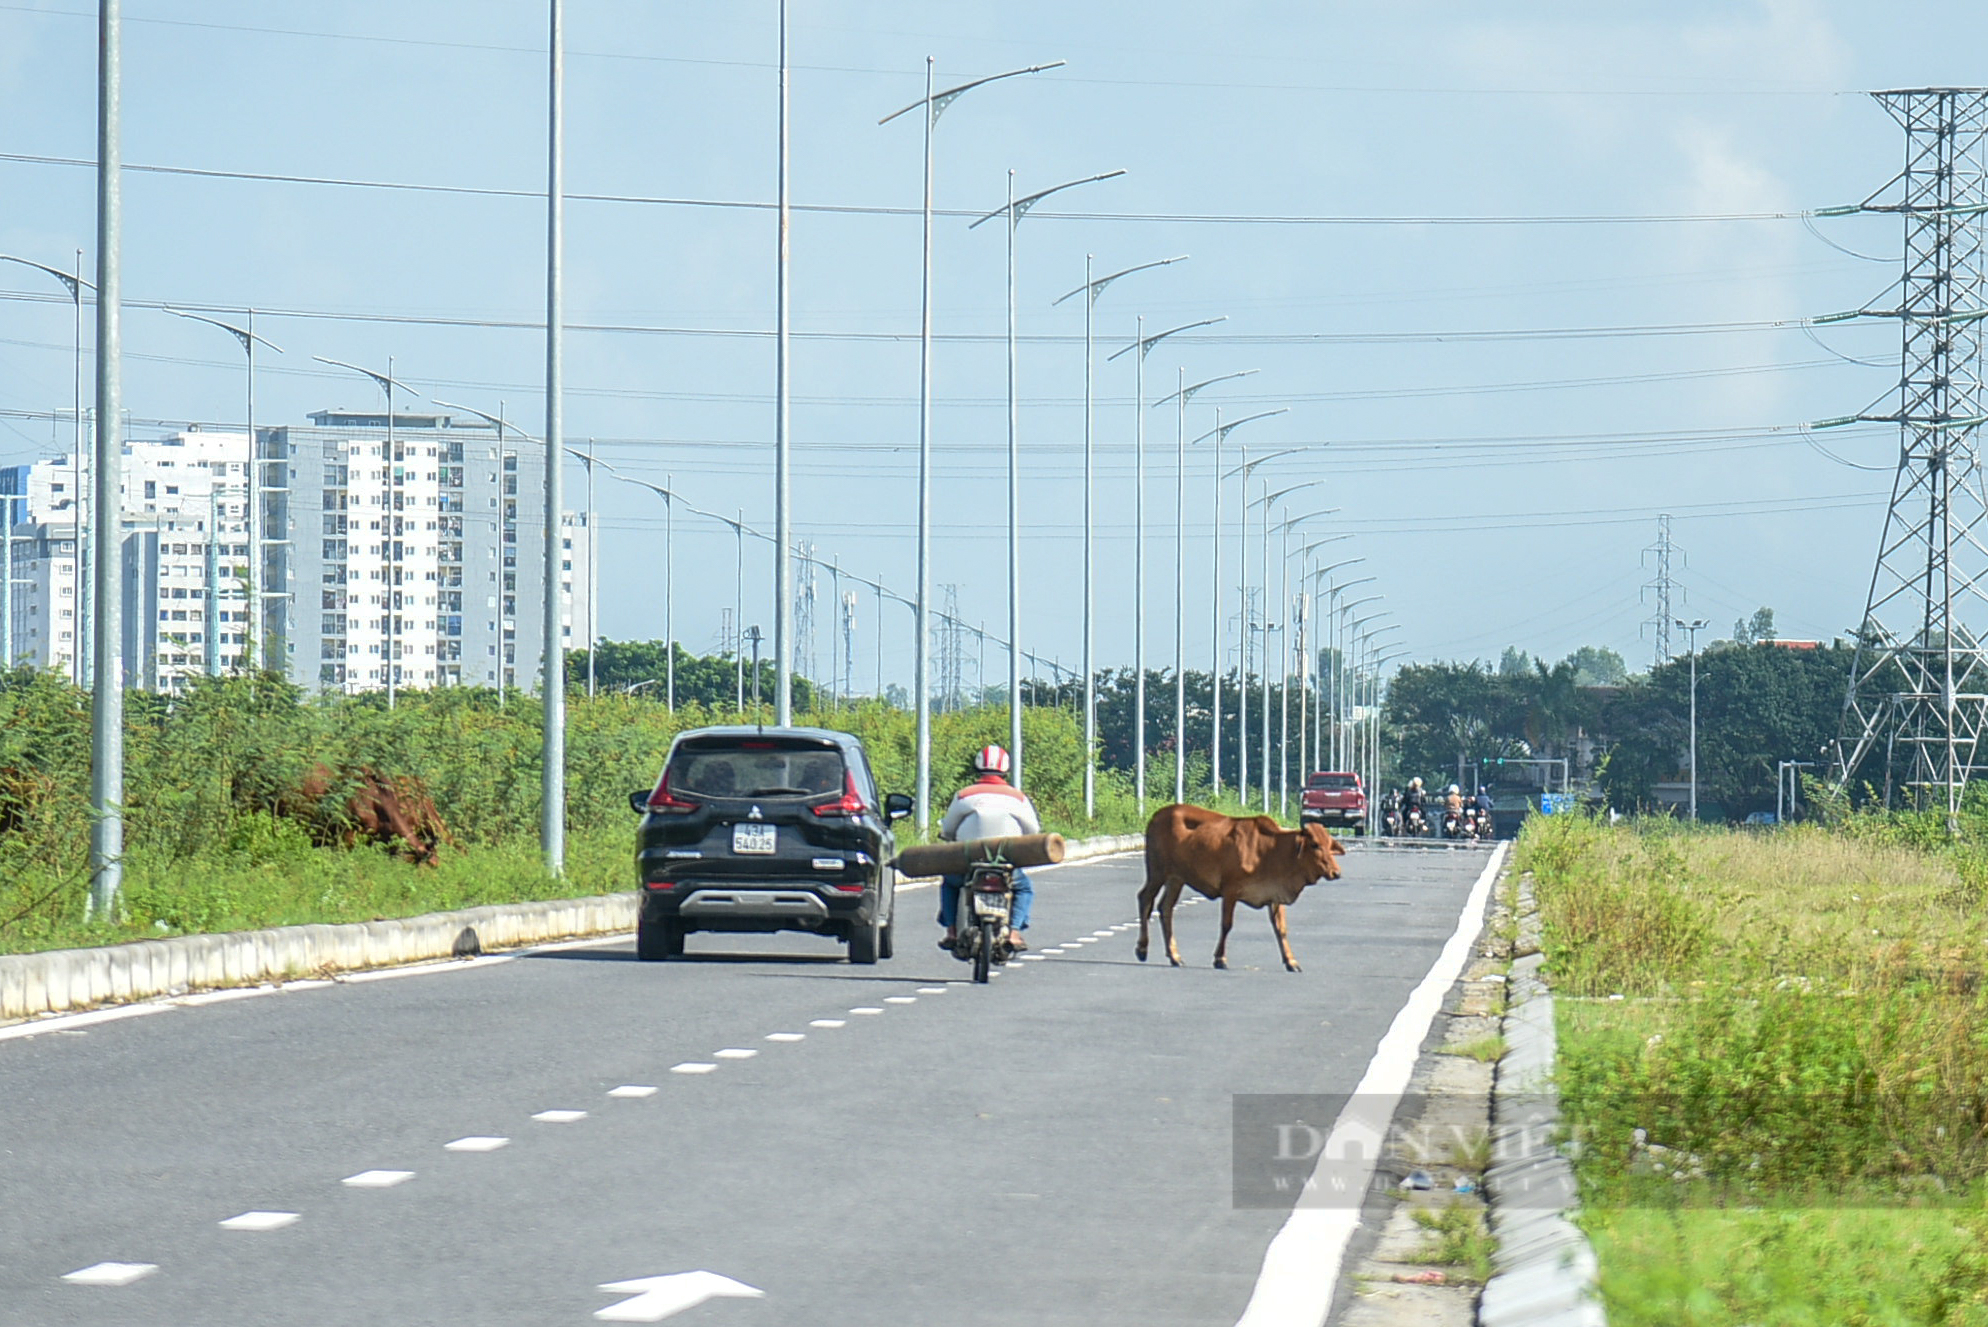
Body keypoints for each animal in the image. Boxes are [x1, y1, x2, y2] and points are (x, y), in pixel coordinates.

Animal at [1145, 798, 1343, 973]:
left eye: (1329, 844)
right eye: (1315, 844)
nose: (1336, 872)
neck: (1271, 851)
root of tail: (1157, 815)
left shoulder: (1275, 896)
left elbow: (1281, 929)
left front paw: (1291, 962)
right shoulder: (1230, 891)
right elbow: (1226, 925)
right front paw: (1220, 959)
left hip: (1176, 879)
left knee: (1165, 907)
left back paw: (1174, 956)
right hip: (1157, 873)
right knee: (1145, 899)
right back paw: (1142, 949)